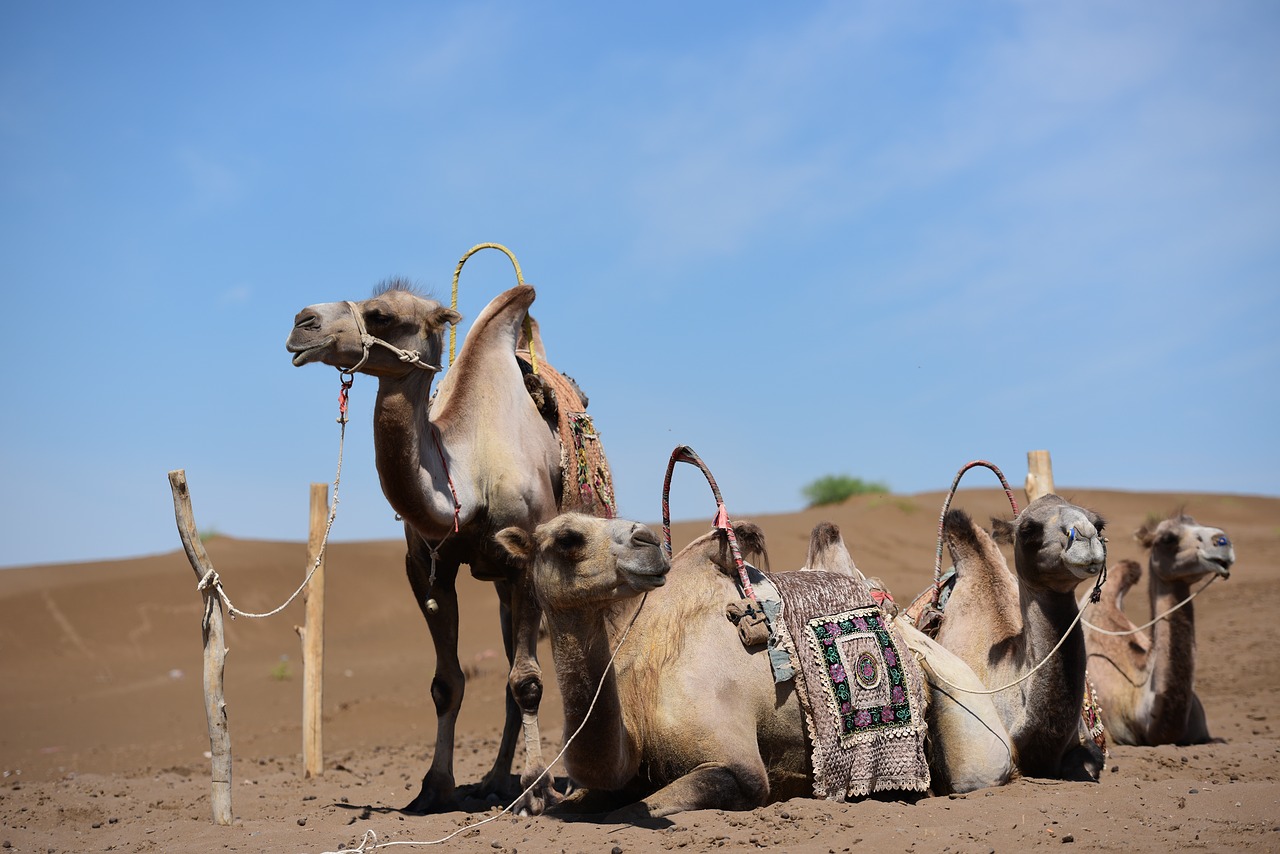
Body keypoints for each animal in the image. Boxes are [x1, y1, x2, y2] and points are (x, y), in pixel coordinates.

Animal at [286, 281, 614, 814]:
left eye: (380, 314)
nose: (302, 322)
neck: (468, 475)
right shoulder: (426, 566)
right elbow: (448, 683)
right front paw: (433, 788)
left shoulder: (527, 562)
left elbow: (527, 681)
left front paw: (537, 790)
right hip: (500, 587)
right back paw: (496, 781)